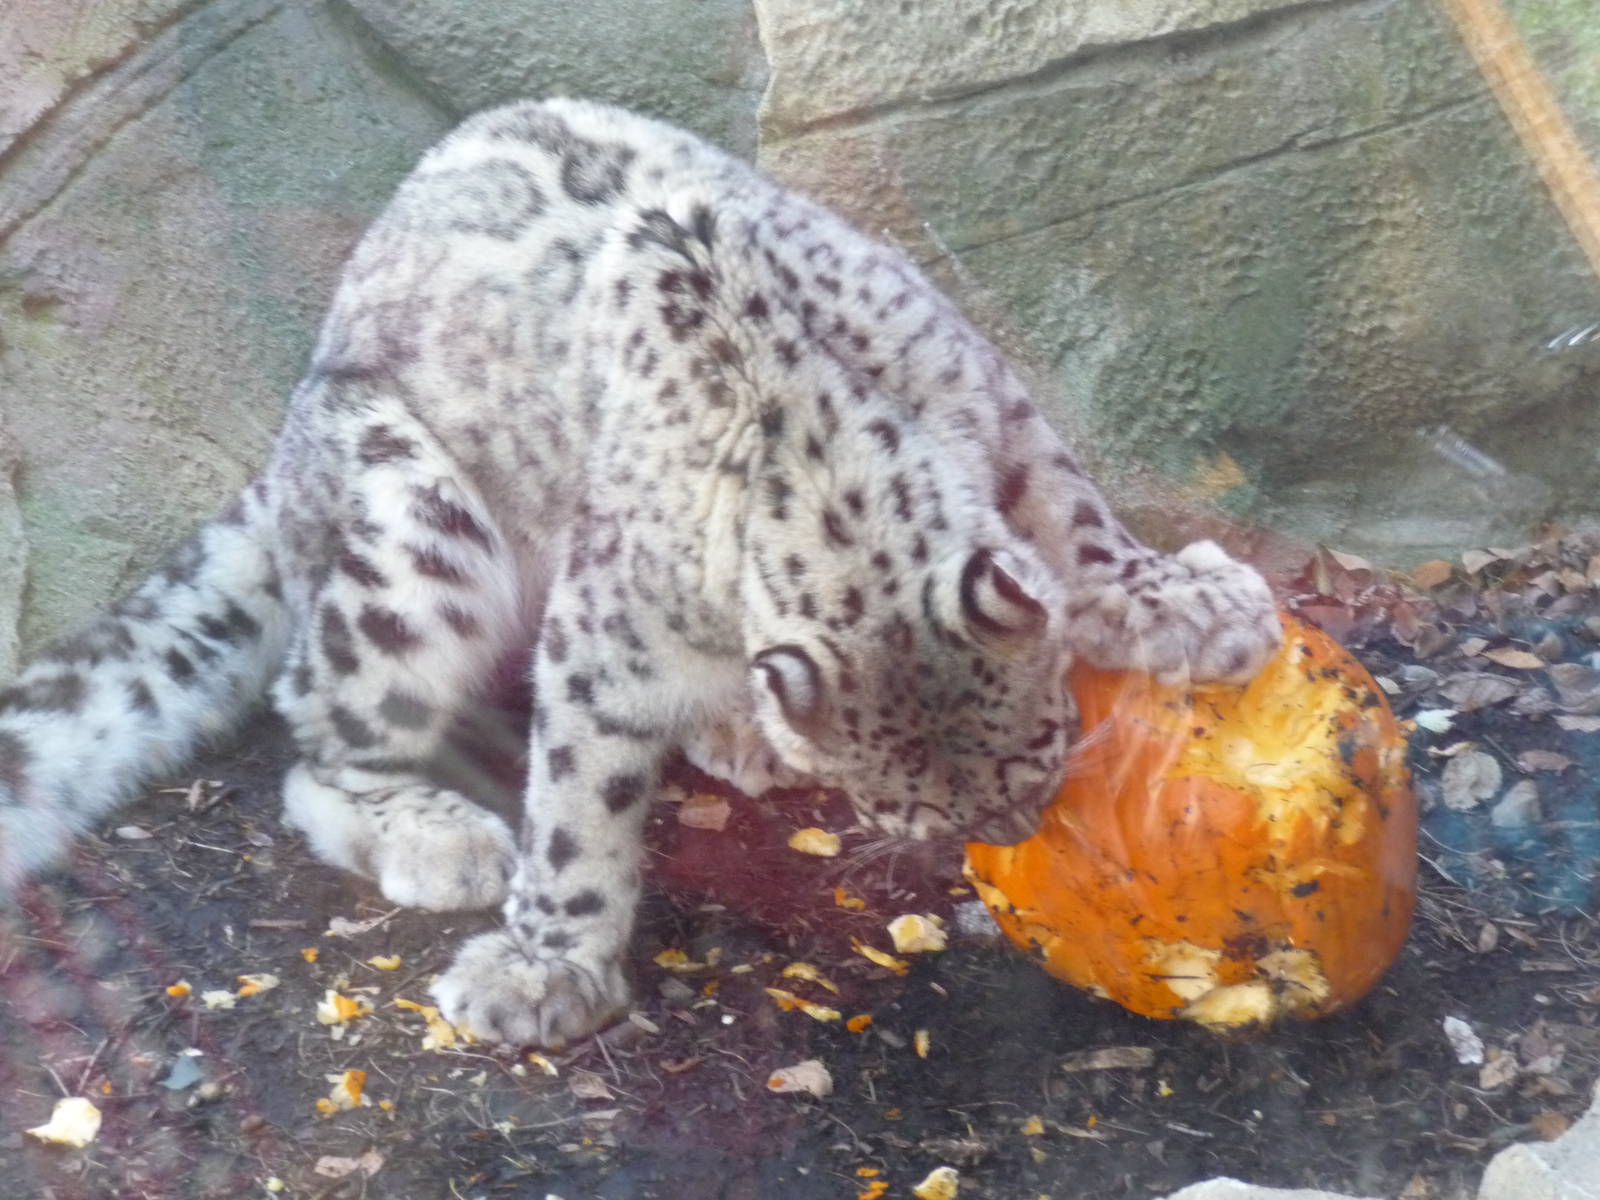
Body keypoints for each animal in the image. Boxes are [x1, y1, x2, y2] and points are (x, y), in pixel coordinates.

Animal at [0, 98, 1281, 1047]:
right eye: (903, 810)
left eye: (1038, 745)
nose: (1009, 826)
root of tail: (283, 452)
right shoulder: (603, 639)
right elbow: (577, 814)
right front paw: (542, 970)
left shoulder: (1003, 415)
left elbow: (1079, 519)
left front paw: (1187, 604)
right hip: (409, 529)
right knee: (317, 735)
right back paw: (436, 834)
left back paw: (740, 734)